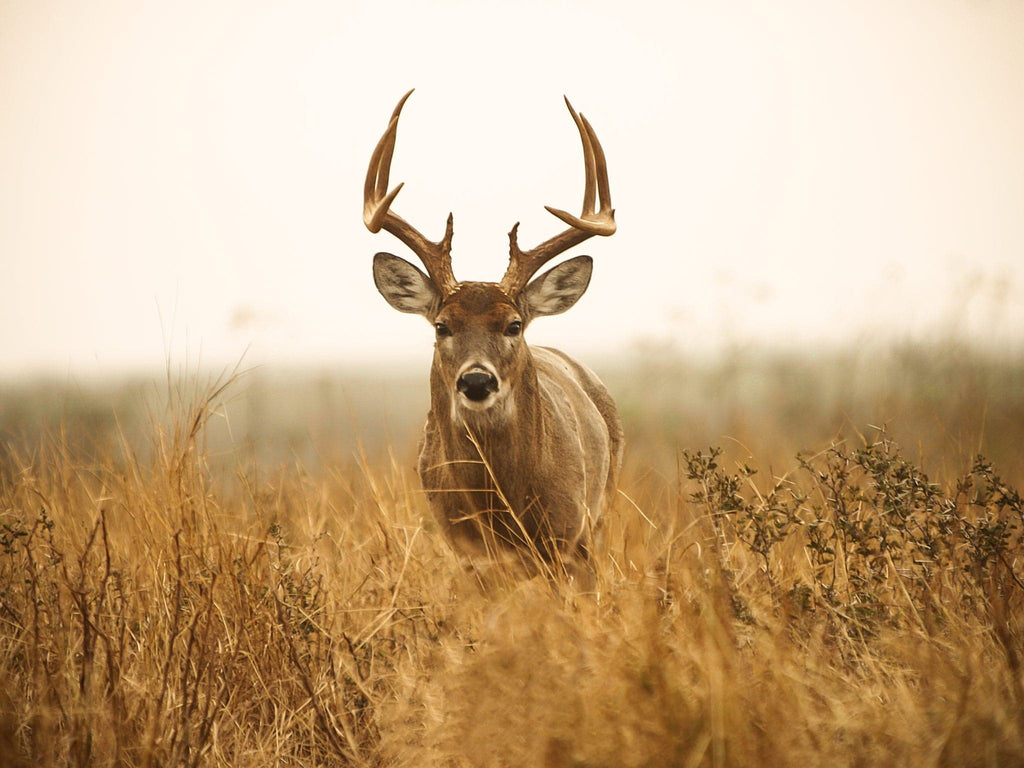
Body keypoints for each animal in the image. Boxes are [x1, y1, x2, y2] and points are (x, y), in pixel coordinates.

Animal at [368, 91, 622, 573]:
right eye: (442, 325)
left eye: (513, 324)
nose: (476, 380)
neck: (505, 507)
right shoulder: (468, 554)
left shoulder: (571, 540)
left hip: (602, 508)